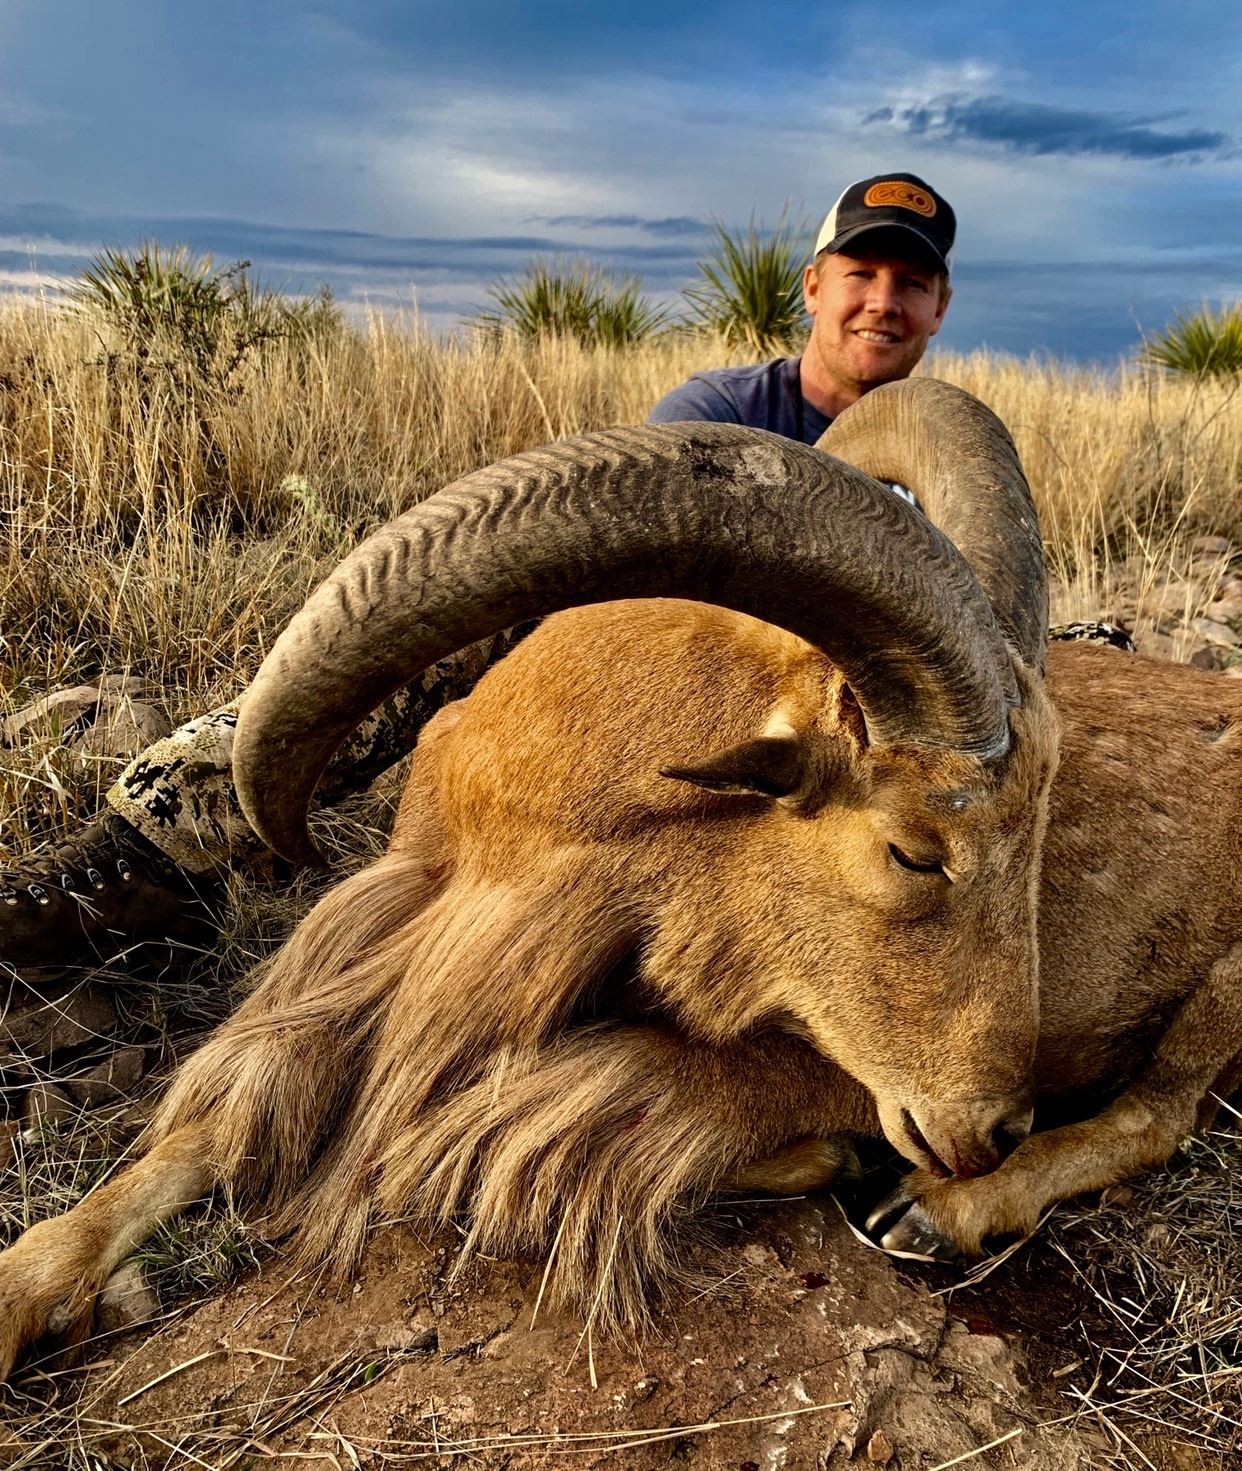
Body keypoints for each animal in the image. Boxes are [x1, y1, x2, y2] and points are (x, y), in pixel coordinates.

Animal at [1, 378, 1240, 1378]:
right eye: (914, 850)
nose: (990, 1122)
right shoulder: (374, 953)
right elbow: (207, 1130)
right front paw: (27, 1285)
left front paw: (841, 1157)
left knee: (1157, 1118)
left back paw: (936, 1210)